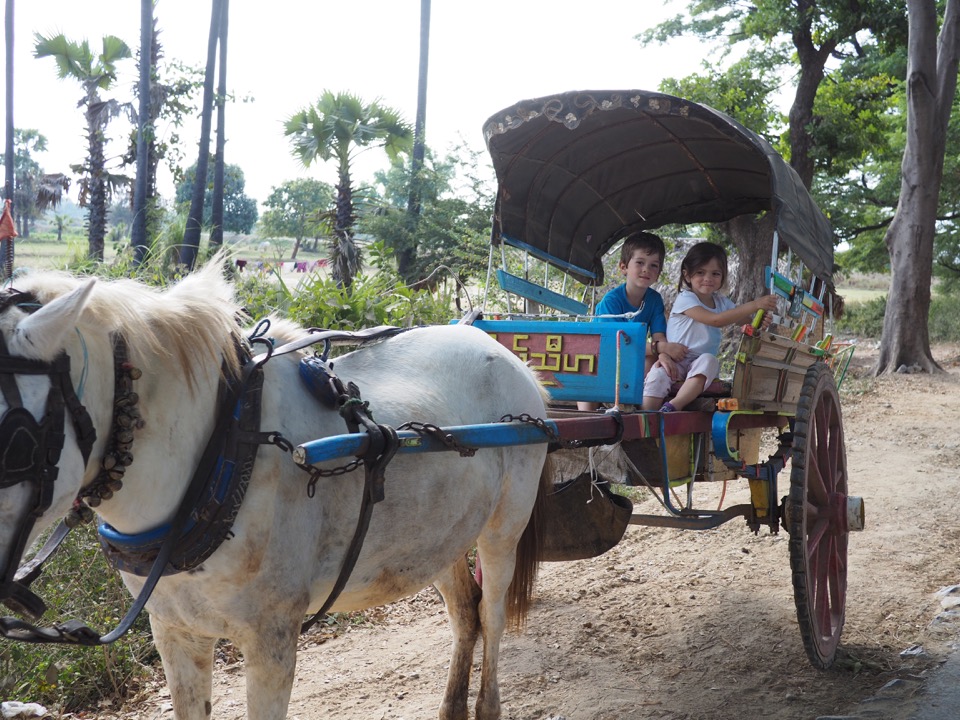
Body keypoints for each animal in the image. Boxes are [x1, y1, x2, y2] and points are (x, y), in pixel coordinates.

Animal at [0, 262, 552, 716]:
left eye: (16, 443)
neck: (225, 447)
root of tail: (497, 347)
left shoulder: (272, 638)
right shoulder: (175, 633)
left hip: (504, 527)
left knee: (492, 612)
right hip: (439, 536)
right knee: (465, 614)